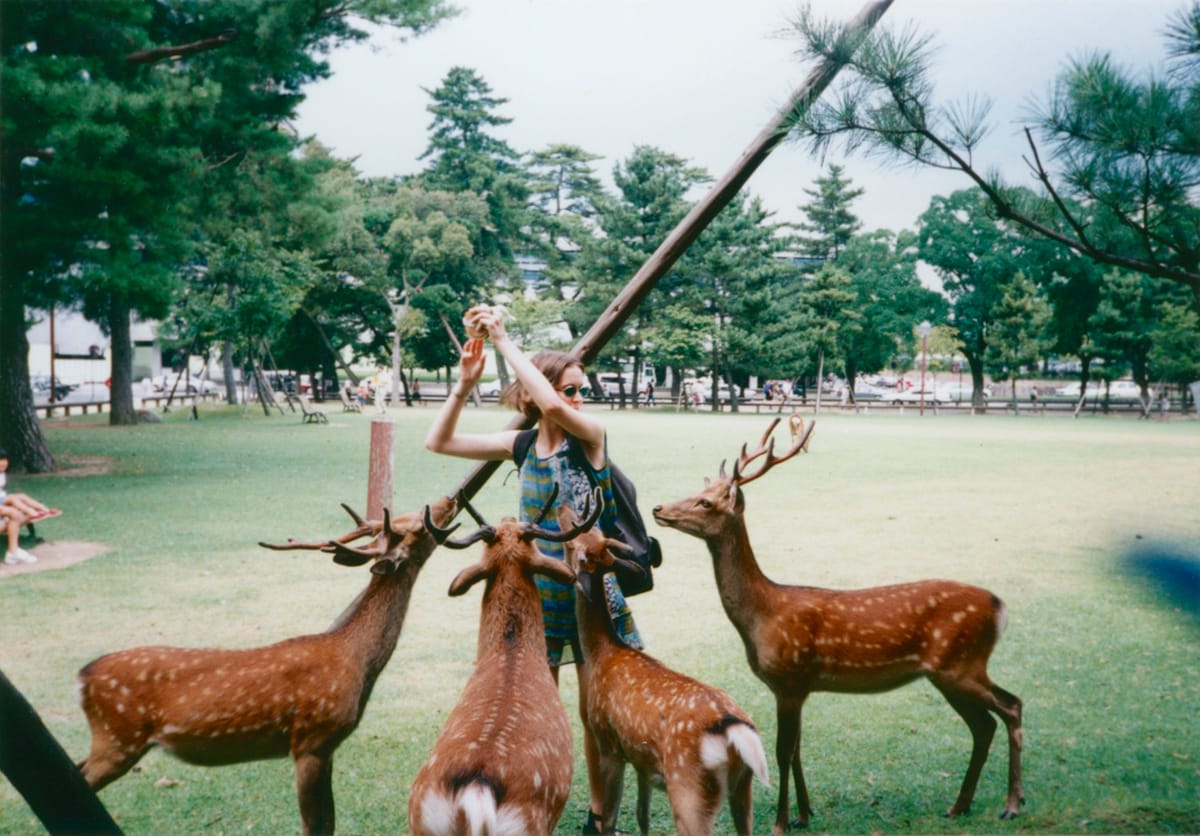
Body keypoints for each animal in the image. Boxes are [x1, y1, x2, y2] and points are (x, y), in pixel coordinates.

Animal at [75, 496, 456, 834]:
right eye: (417, 526)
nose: (447, 502)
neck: (357, 661)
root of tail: (82, 677)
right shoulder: (310, 739)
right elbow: (315, 825)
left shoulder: (328, 747)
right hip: (117, 737)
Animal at [559, 498, 768, 834]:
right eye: (594, 531)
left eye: (573, 538)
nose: (562, 506)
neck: (602, 651)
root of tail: (735, 731)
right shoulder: (642, 760)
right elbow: (642, 814)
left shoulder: (608, 742)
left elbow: (609, 819)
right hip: (743, 786)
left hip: (688, 791)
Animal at [652, 419, 1027, 830]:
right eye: (698, 490)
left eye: (706, 502)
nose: (657, 508)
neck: (761, 615)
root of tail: (1000, 607)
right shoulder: (799, 686)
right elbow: (798, 750)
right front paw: (804, 813)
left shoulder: (789, 677)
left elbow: (783, 751)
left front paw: (781, 823)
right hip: (952, 671)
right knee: (984, 725)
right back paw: (960, 805)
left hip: (960, 664)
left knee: (1011, 706)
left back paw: (1011, 804)